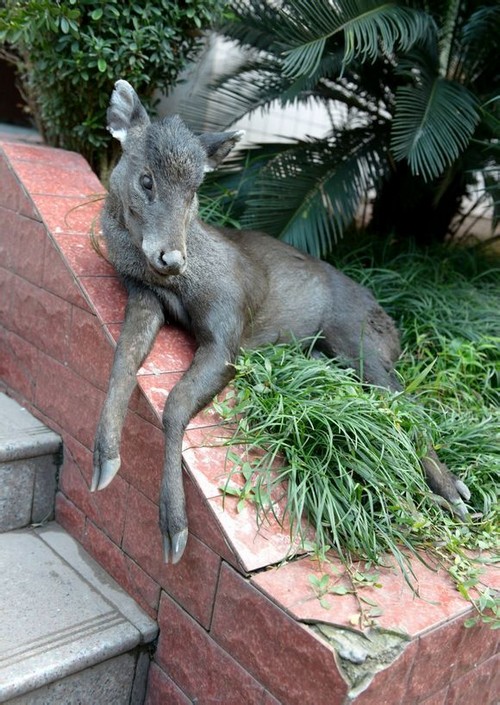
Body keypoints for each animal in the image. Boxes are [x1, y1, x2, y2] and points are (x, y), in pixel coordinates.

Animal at [91, 80, 470, 564]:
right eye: (146, 180)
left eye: (195, 191)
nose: (171, 258)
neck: (178, 286)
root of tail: (394, 329)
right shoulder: (143, 296)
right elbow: (121, 363)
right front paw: (105, 460)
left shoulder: (229, 326)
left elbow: (174, 404)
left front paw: (174, 526)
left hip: (358, 342)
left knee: (408, 407)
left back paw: (453, 493)